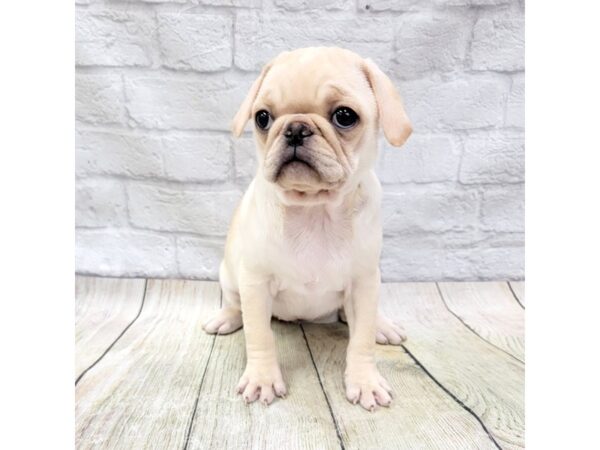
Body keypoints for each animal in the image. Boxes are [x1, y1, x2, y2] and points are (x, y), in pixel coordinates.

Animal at [202, 46, 412, 412]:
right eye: (262, 118)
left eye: (345, 116)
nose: (296, 129)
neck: (315, 210)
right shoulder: (255, 283)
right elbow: (260, 335)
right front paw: (262, 379)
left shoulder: (364, 283)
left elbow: (361, 341)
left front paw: (365, 382)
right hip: (229, 276)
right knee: (234, 304)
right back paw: (226, 318)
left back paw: (383, 326)